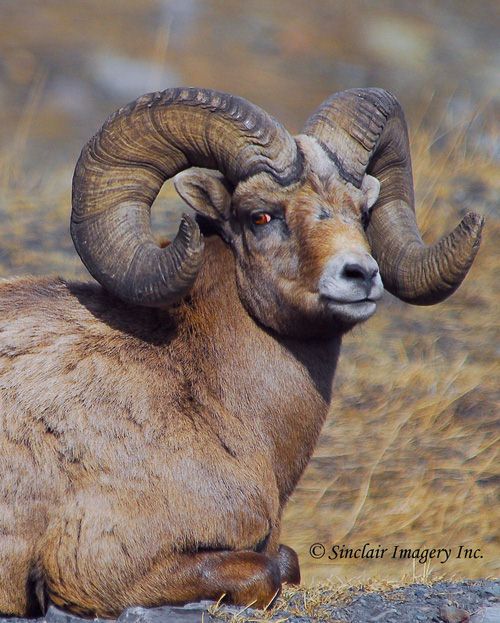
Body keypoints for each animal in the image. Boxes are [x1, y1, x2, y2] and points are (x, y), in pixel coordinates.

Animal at [0, 89, 484, 620]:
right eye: (261, 216)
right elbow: (267, 571)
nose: (360, 275)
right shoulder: (99, 567)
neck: (206, 394)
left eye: (361, 212)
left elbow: (287, 560)